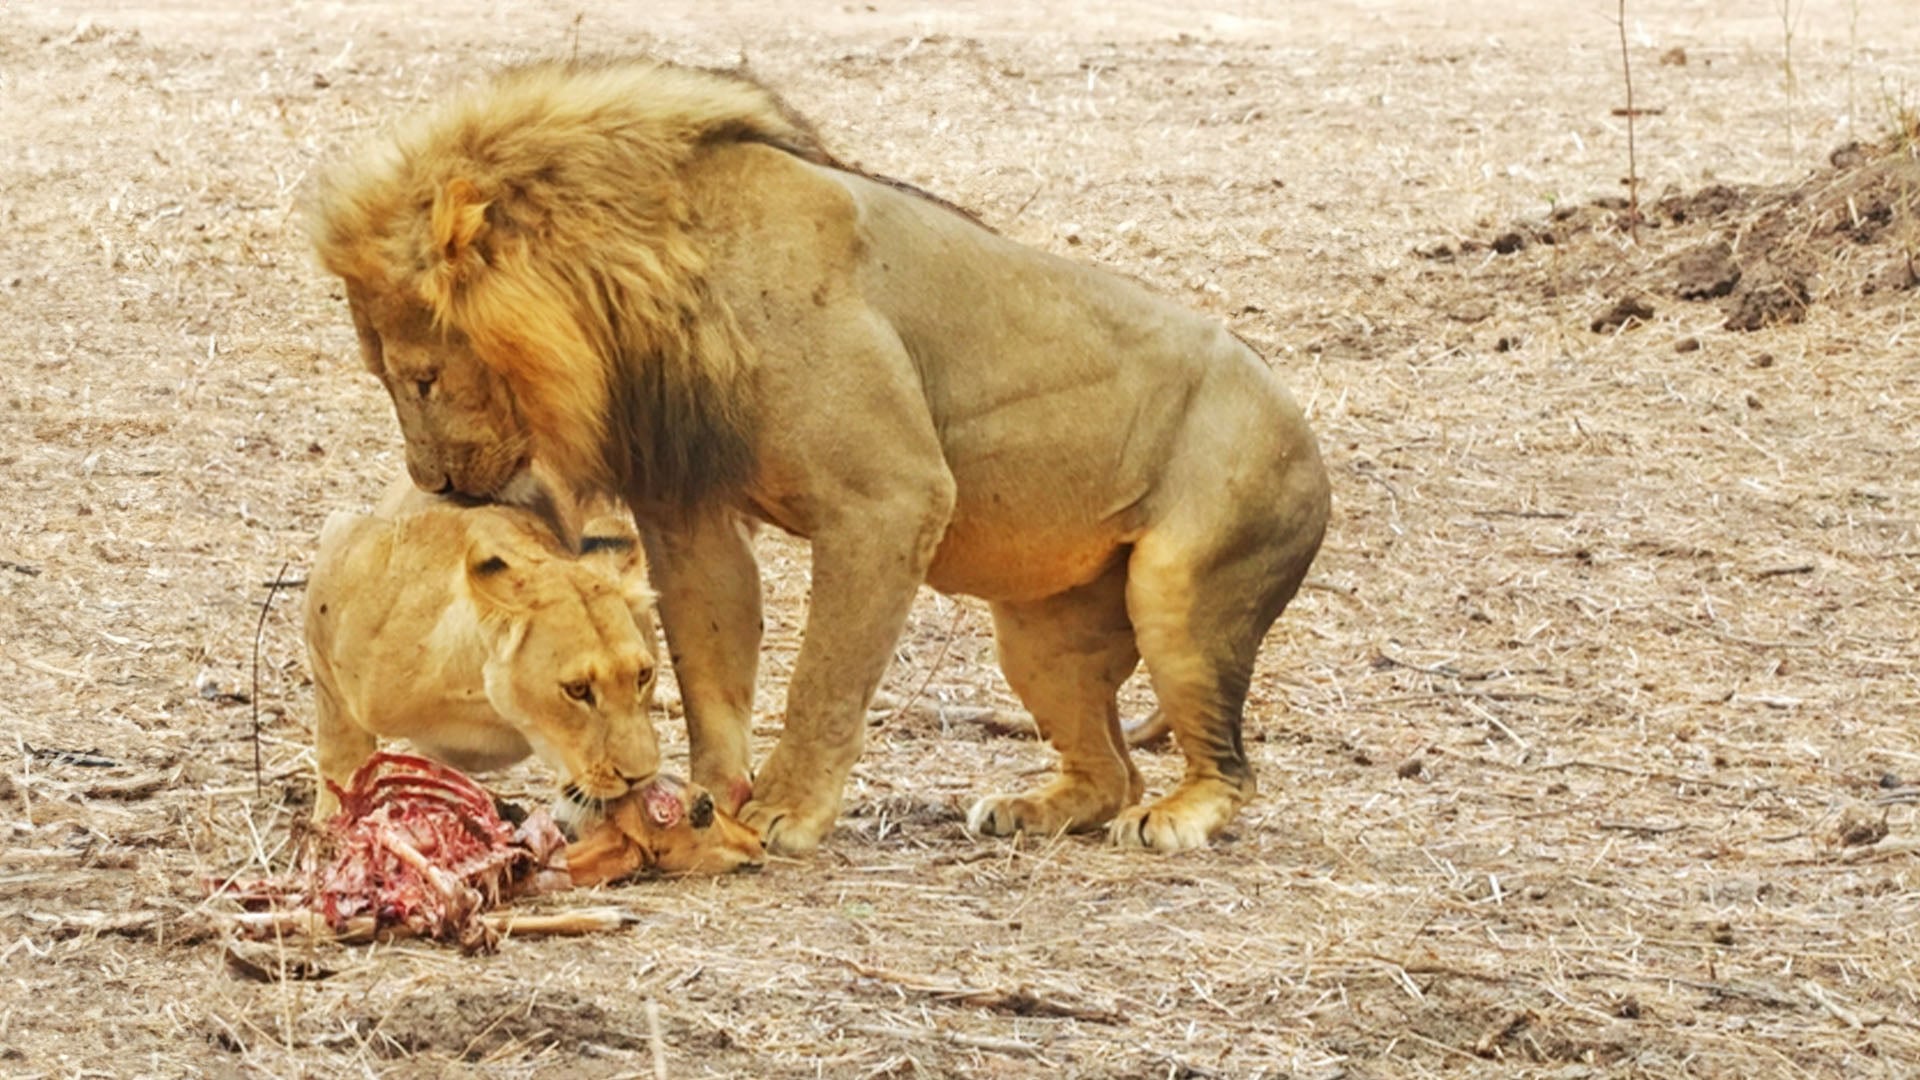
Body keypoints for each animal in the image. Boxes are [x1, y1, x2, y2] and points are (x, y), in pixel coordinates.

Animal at [305, 475, 663, 830]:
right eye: (577, 690)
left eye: (644, 675)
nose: (641, 777)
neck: (485, 705)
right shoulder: (339, 555)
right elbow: (339, 749)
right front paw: (332, 820)